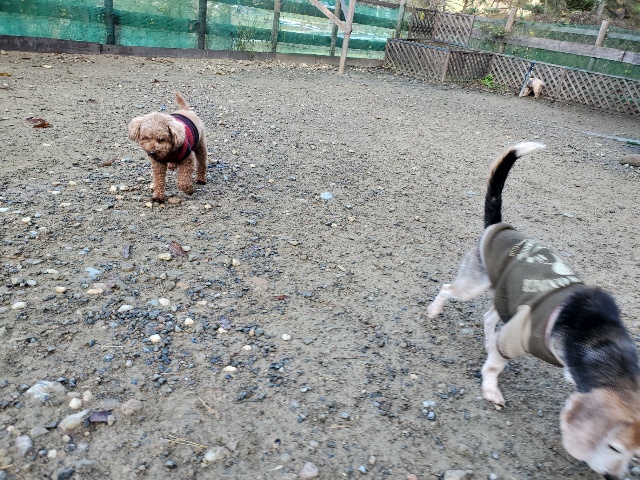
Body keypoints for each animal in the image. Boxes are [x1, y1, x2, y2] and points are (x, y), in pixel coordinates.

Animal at [427, 142, 640, 479]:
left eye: (636, 455)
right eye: (614, 447)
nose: (612, 477)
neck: (601, 339)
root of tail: (498, 226)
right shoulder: (517, 335)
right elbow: (494, 366)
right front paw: (491, 390)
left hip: (506, 298)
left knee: (489, 318)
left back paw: (486, 339)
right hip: (474, 284)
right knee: (449, 289)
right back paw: (434, 310)